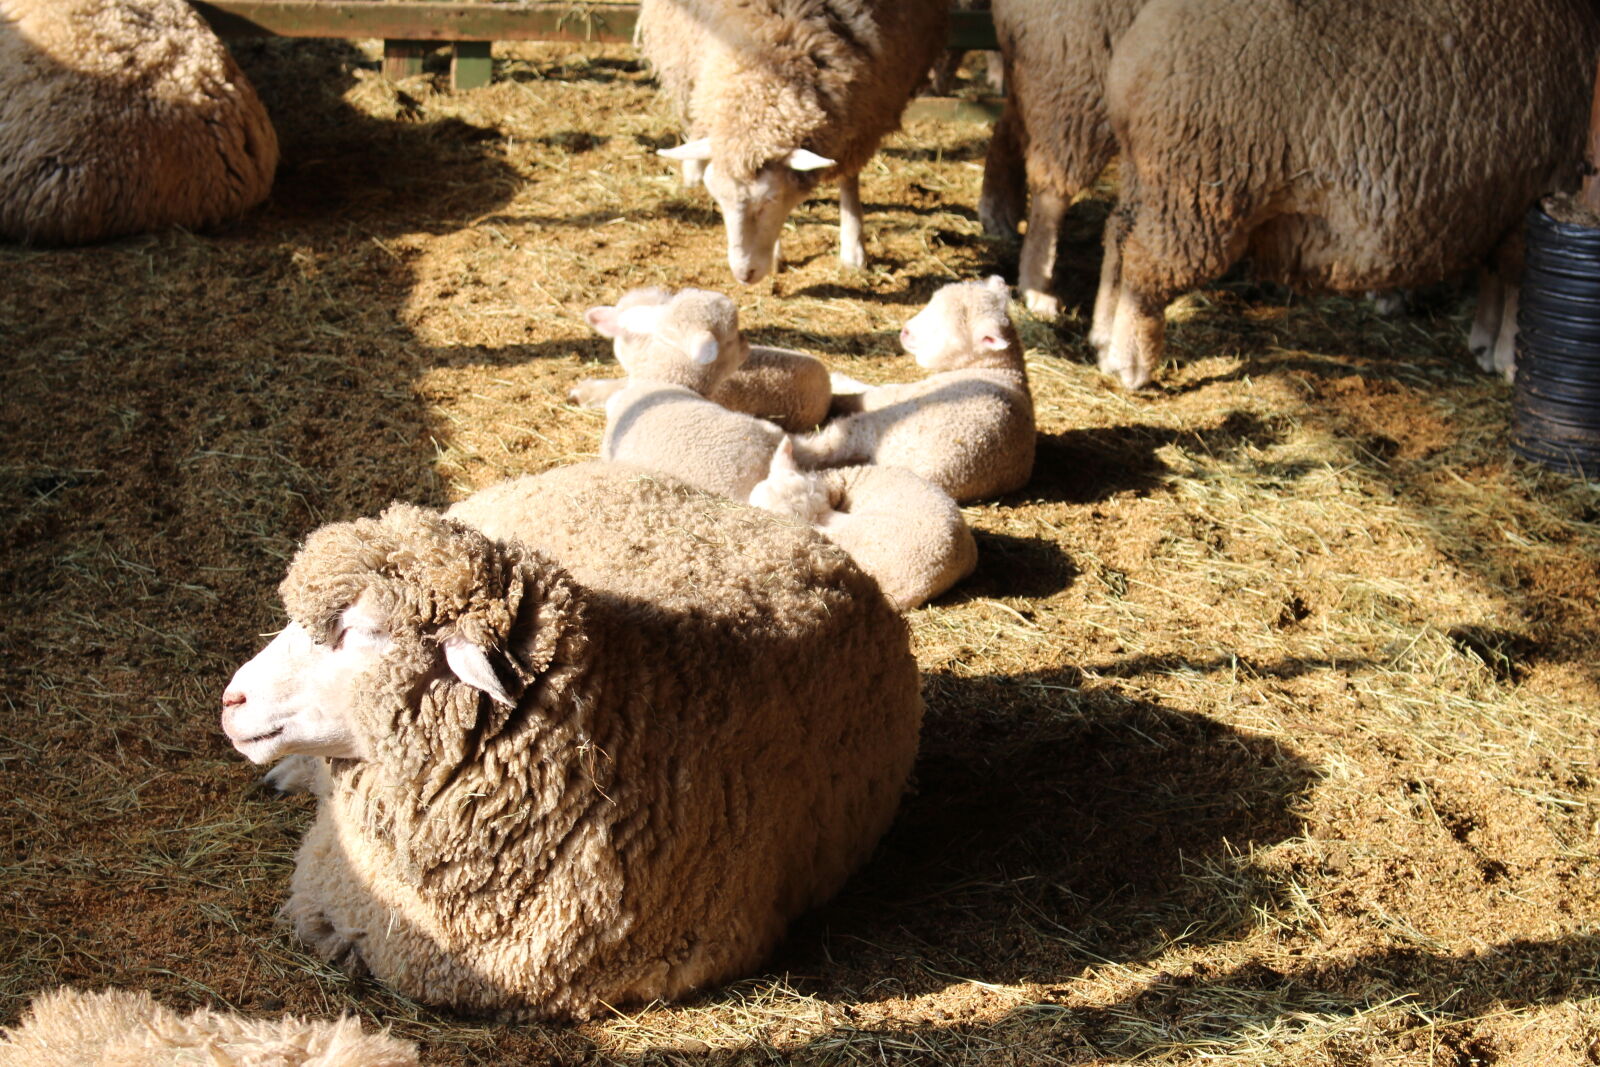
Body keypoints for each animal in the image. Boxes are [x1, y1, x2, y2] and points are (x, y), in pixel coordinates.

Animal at [642, 0, 950, 282]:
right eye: (717, 198)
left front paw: (853, 250)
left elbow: (848, 179)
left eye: (771, 199)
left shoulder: (865, 114)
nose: (743, 274)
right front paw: (778, 254)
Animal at [791, 276, 1035, 503]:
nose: (905, 331)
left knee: (823, 446)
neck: (998, 368)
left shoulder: (906, 394)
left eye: (941, 330)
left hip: (877, 426)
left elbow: (870, 394)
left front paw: (838, 380)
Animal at [1092, 0, 1600, 389]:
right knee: (1146, 266)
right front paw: (1511, 358)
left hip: (1149, 178)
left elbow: (1499, 277)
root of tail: (1134, 61)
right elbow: (1522, 289)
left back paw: (1101, 333)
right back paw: (1129, 363)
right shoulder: (1535, 190)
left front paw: (1485, 341)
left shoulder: (1501, 202)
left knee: (1117, 235)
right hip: (1196, 195)